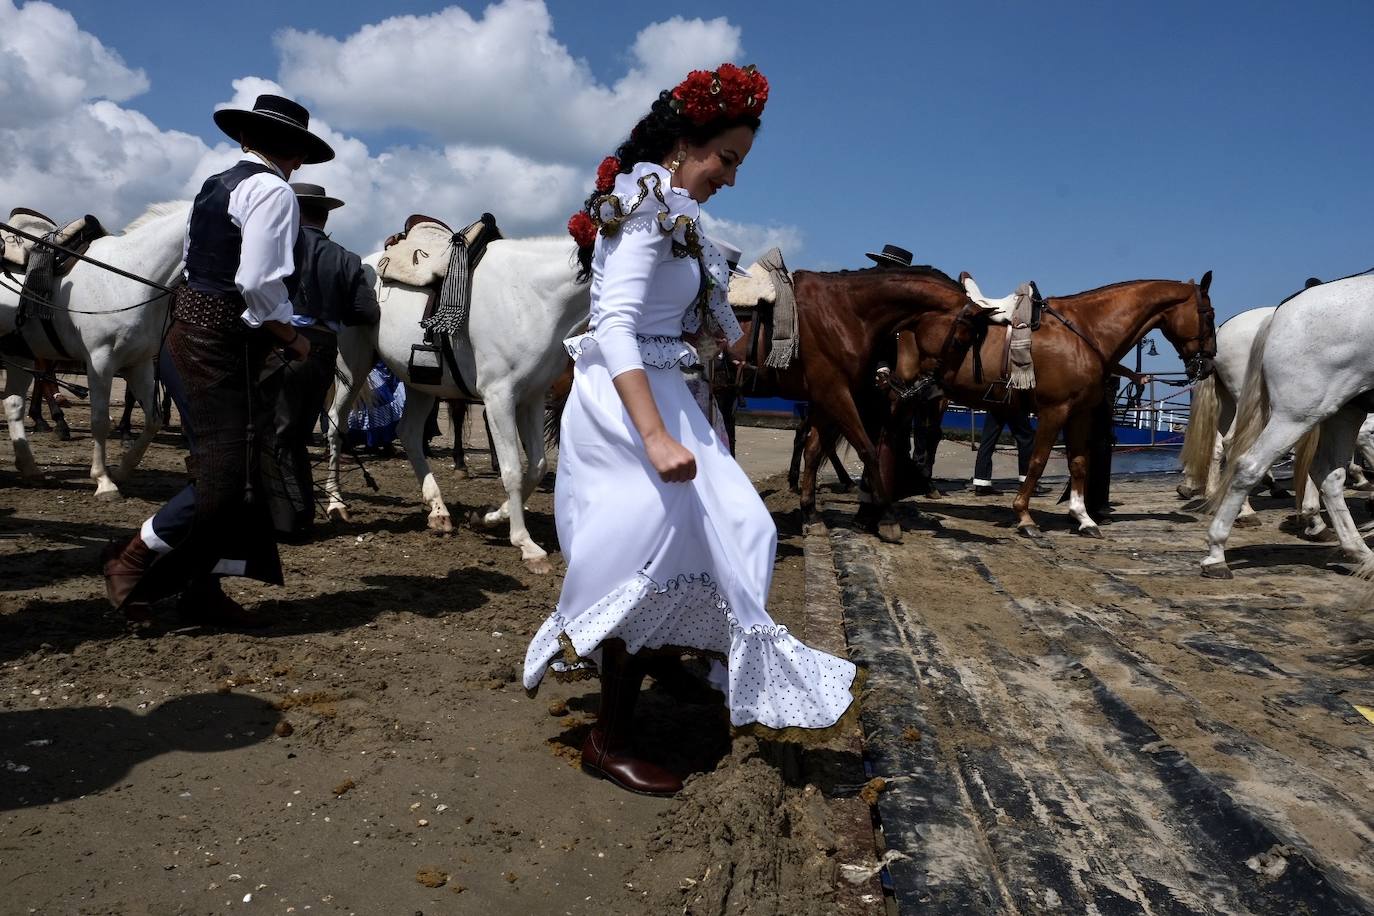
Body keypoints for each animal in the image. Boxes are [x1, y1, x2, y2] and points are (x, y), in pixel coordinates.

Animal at [0, 201, 185, 494]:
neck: (130, 278)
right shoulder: (100, 361)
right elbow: (99, 420)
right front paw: (103, 480)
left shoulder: (139, 363)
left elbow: (153, 419)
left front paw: (122, 470)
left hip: (20, 353)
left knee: (14, 403)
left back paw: (31, 468)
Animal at [329, 236, 593, 574]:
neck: (532, 295)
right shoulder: (499, 398)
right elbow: (512, 470)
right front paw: (526, 545)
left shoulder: (532, 398)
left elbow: (536, 467)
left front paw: (487, 518)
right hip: (352, 368)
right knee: (336, 422)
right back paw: (336, 504)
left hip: (420, 383)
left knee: (409, 433)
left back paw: (438, 511)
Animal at [906, 271, 1220, 538]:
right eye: (1209, 315)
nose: (1207, 364)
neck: (1083, 331)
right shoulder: (1054, 411)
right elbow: (1037, 461)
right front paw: (1024, 517)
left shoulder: (1078, 413)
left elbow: (1079, 463)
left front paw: (1083, 517)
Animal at [1203, 277, 1374, 579]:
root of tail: (1279, 314)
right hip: (1296, 411)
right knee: (1246, 460)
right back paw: (1218, 550)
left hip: (1338, 409)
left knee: (1326, 473)